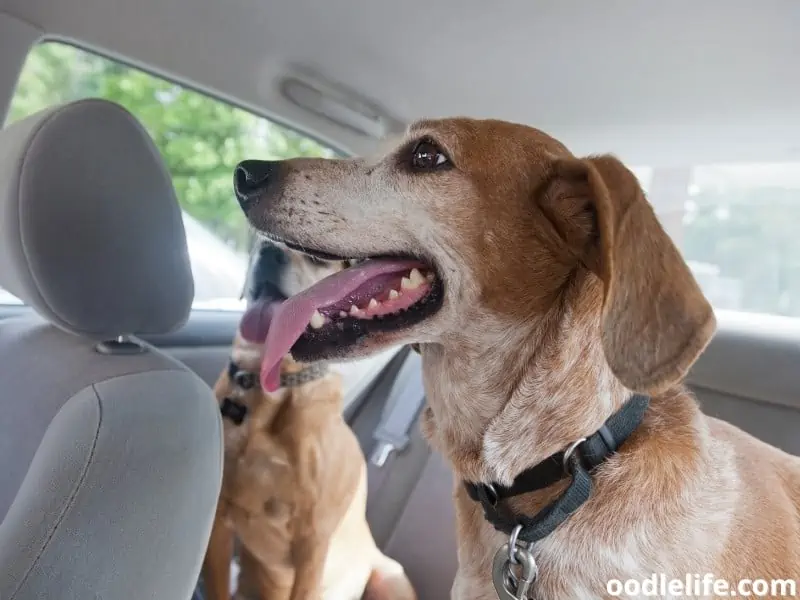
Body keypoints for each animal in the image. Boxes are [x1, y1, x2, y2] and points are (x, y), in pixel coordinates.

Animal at [200, 243, 416, 600]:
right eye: (258, 243)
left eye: (317, 258)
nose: (268, 250)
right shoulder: (218, 519)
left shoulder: (312, 546)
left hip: (391, 579)